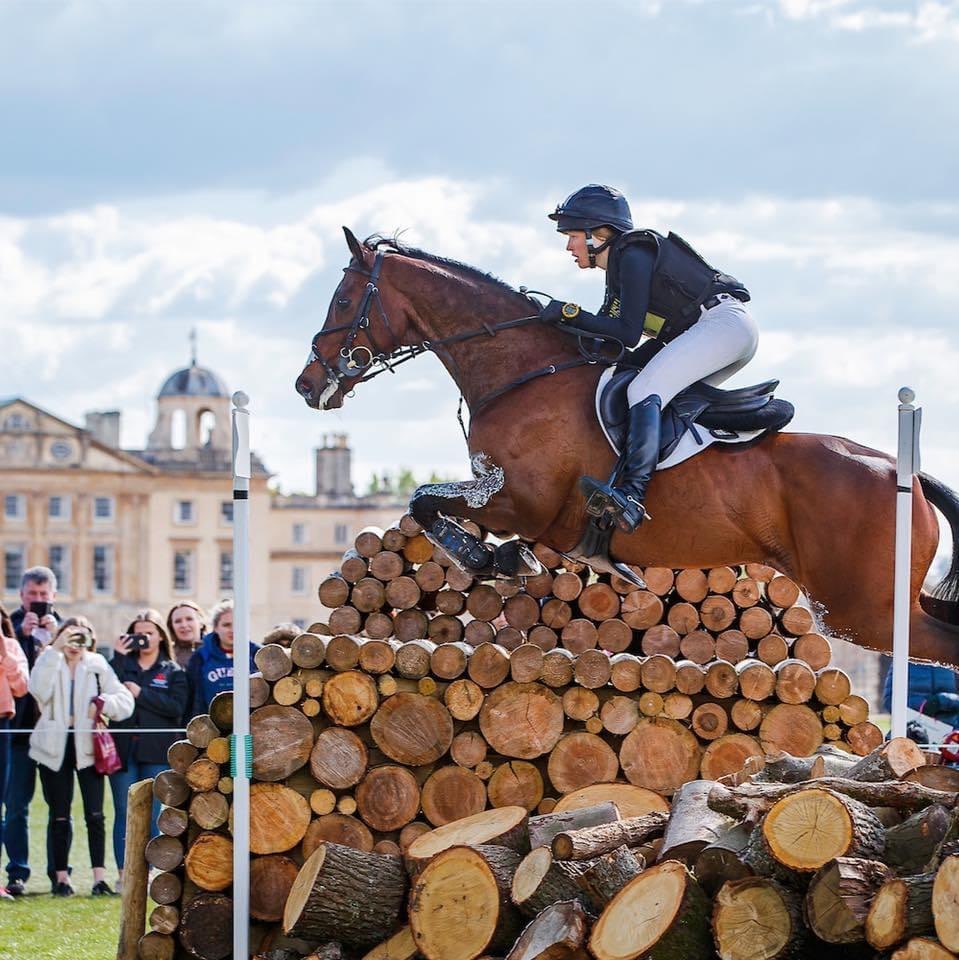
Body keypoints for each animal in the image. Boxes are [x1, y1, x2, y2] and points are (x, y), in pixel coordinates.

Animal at [294, 228, 959, 664]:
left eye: (344, 300)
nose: (307, 385)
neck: (525, 374)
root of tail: (908, 475)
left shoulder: (524, 502)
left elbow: (425, 500)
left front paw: (494, 557)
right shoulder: (502, 494)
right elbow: (426, 504)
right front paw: (502, 558)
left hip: (865, 610)